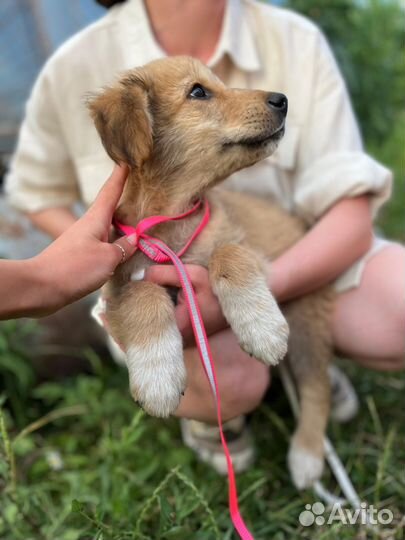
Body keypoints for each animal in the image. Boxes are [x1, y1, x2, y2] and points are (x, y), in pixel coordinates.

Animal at [88, 56, 332, 490]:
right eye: (198, 92)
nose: (282, 100)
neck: (172, 222)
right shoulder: (116, 291)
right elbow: (143, 295)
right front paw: (158, 377)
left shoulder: (252, 249)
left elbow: (228, 254)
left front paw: (261, 327)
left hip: (306, 316)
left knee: (316, 386)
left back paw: (306, 455)